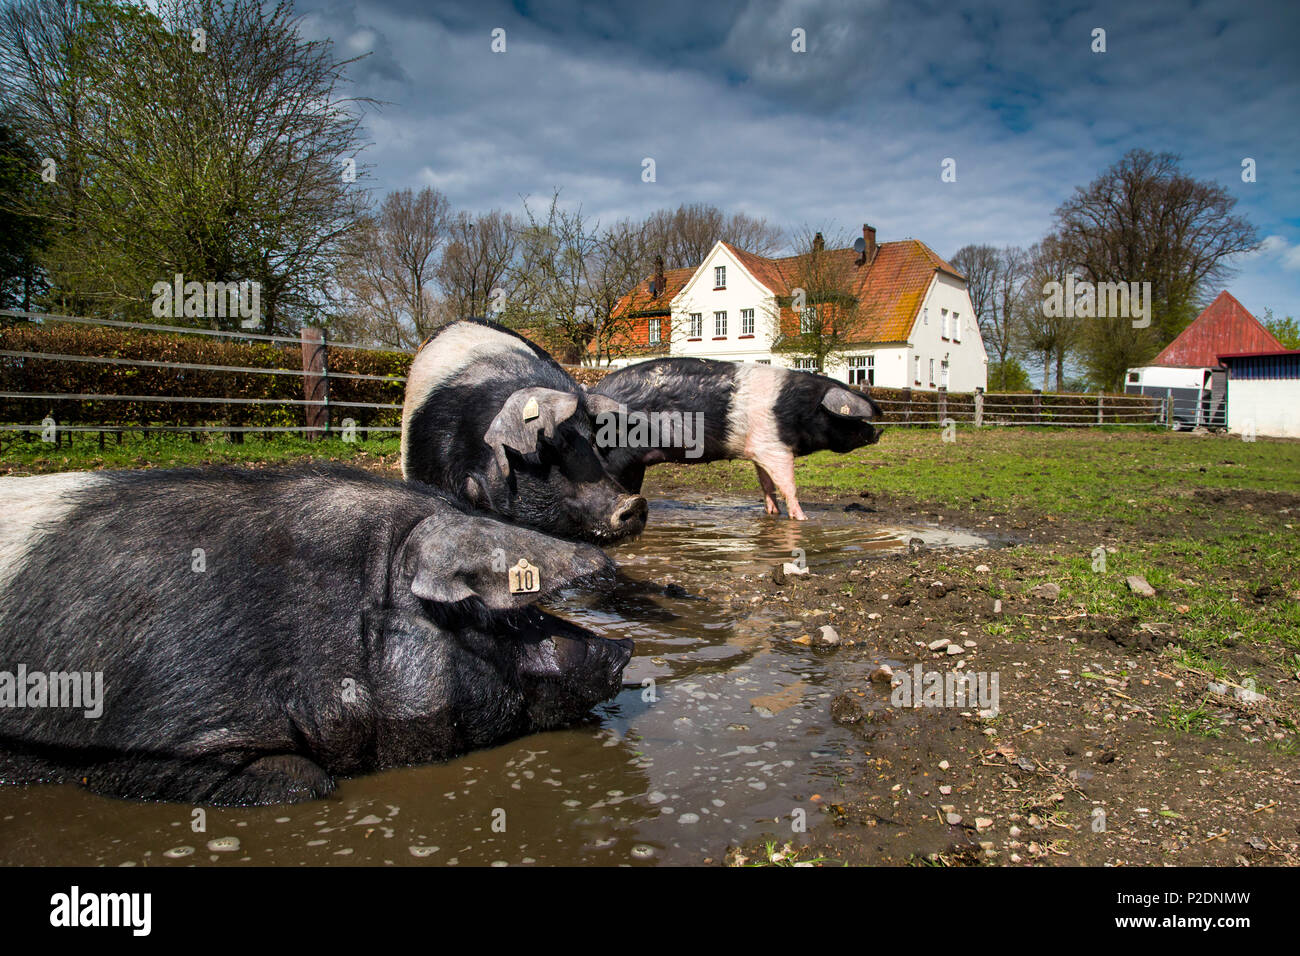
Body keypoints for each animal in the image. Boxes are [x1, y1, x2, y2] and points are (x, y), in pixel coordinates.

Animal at [592, 358, 883, 522]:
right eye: (849, 418)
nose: (878, 432)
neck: (799, 410)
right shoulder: (775, 448)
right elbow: (788, 485)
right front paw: (802, 519)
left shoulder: (759, 450)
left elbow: (767, 485)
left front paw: (772, 513)